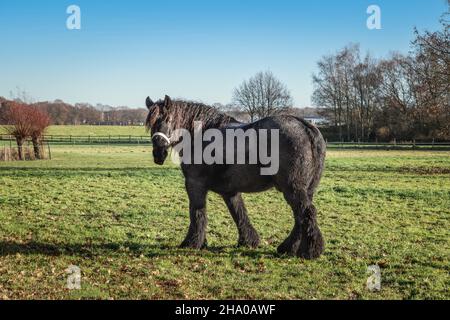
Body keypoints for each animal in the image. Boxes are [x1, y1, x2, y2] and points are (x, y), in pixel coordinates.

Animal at [146, 95, 326, 260]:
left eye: (168, 119)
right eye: (151, 123)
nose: (158, 153)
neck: (200, 136)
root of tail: (305, 126)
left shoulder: (194, 185)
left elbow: (197, 213)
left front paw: (191, 243)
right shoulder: (229, 191)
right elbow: (239, 213)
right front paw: (248, 241)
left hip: (292, 188)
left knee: (306, 213)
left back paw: (310, 251)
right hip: (306, 189)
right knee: (300, 218)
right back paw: (288, 248)